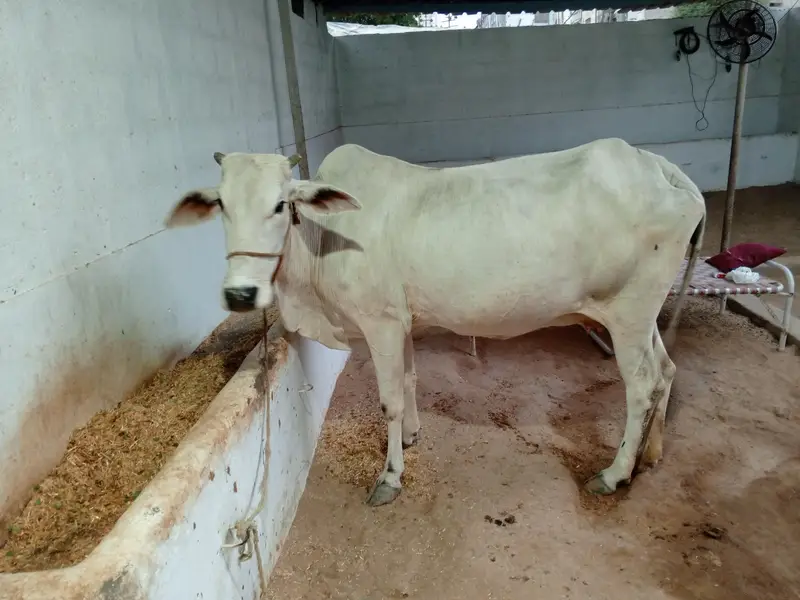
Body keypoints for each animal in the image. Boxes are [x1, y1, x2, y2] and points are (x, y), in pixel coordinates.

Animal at [165, 139, 705, 507]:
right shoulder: (402, 321)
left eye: (281, 204)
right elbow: (408, 380)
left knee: (642, 386)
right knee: (667, 371)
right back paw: (650, 455)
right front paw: (409, 438)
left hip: (628, 314)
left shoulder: (380, 322)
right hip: (640, 317)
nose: (240, 293)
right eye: (221, 205)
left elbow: (388, 400)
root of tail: (656, 165)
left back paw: (614, 473)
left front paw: (389, 477)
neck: (323, 240)